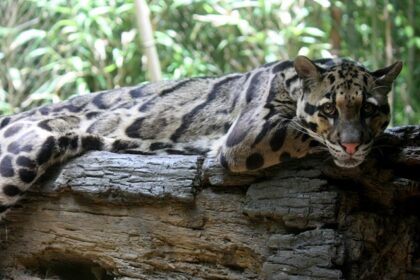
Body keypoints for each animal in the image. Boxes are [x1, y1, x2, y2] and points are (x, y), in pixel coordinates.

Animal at [0, 55, 402, 215]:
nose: (352, 142)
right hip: (23, 152)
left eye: (369, 109)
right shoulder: (247, 135)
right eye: (329, 109)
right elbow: (307, 134)